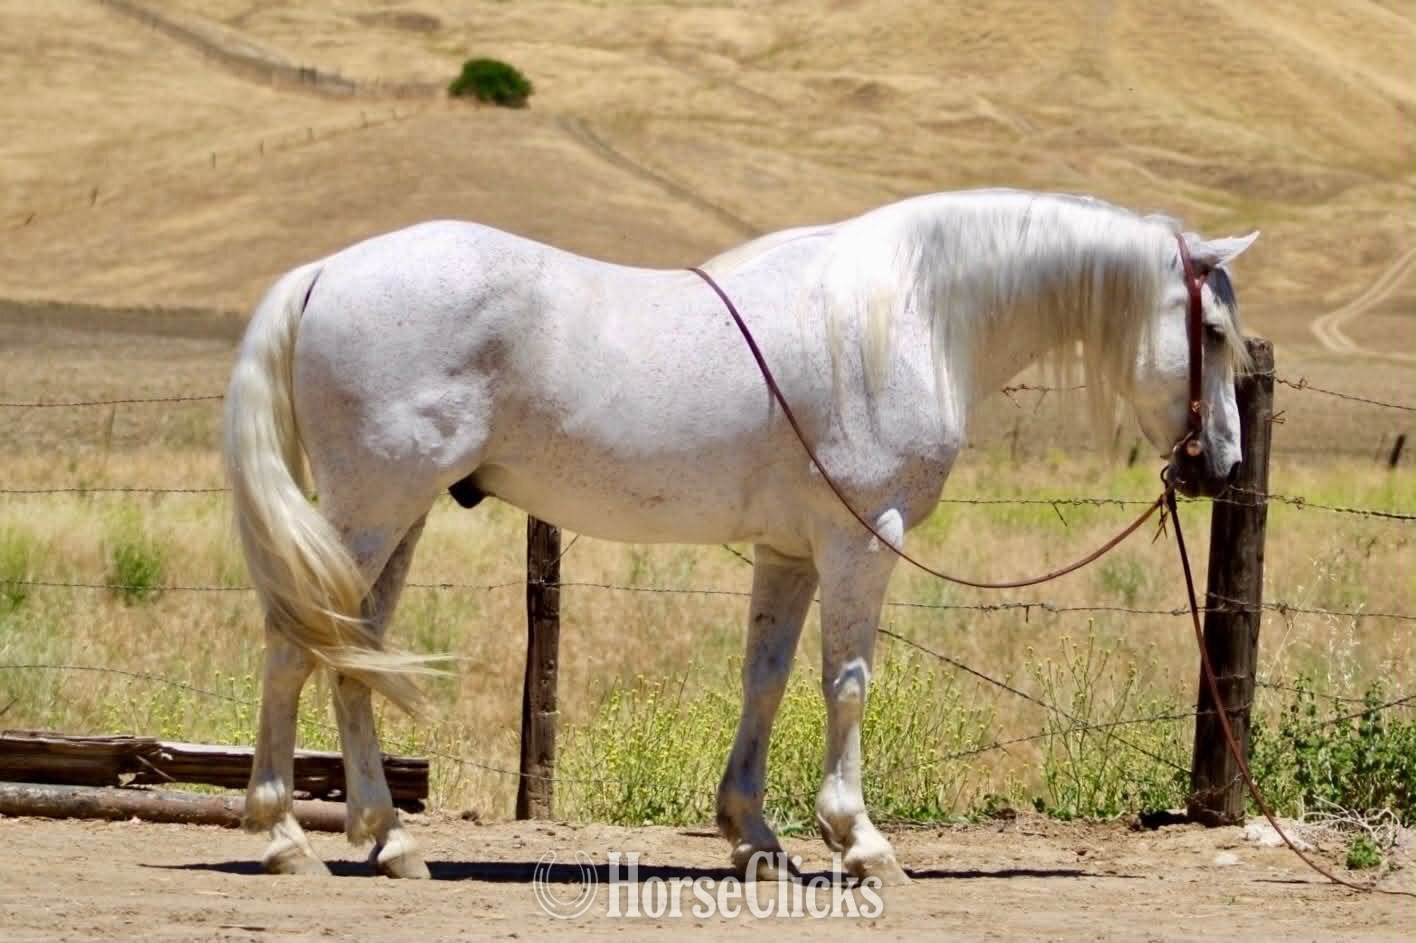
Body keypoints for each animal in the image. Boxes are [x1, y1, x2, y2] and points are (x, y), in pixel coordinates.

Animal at [223, 188, 1257, 883]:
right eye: (1210, 327)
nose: (1221, 466)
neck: (908, 311)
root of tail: (321, 275)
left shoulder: (789, 551)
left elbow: (765, 678)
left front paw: (754, 839)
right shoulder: (860, 540)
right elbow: (847, 684)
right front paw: (860, 841)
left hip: (395, 516)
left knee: (352, 651)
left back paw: (390, 838)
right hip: (371, 509)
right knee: (292, 646)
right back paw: (283, 837)